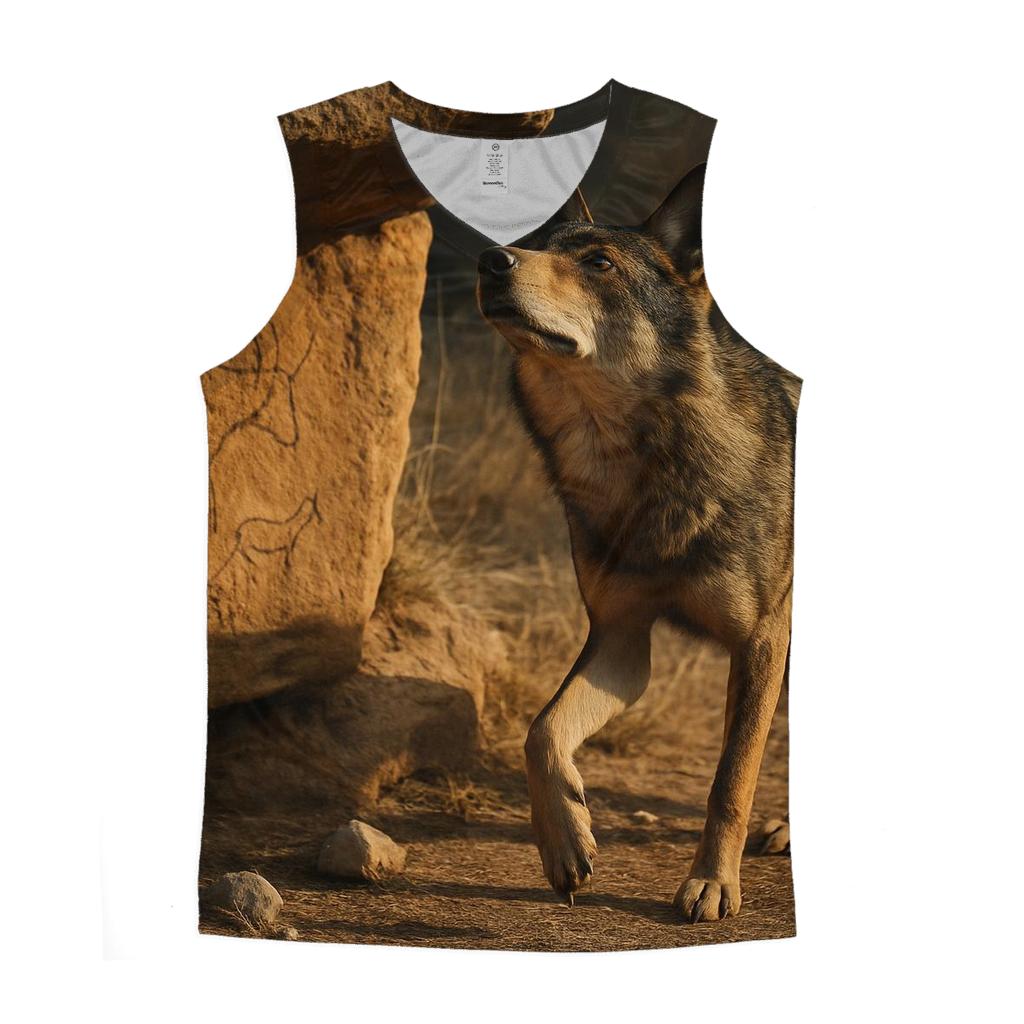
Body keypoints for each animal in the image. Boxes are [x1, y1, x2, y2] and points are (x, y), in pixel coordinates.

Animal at [476, 163, 800, 923]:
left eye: (598, 263)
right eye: (538, 245)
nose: (491, 259)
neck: (638, 463)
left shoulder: (761, 641)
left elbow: (730, 779)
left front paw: (712, 883)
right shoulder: (622, 639)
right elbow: (540, 731)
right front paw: (565, 842)